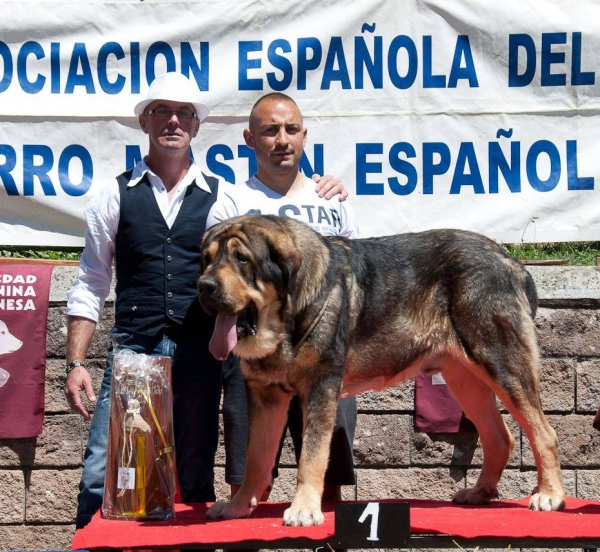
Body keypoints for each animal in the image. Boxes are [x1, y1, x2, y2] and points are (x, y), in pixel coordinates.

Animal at [198, 212, 568, 528]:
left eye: (242, 259)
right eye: (207, 258)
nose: (205, 286)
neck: (285, 319)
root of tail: (511, 262)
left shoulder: (320, 388)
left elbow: (311, 456)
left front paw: (303, 509)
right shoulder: (266, 396)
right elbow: (255, 457)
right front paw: (238, 506)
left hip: (502, 364)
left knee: (543, 433)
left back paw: (550, 495)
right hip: (464, 380)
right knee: (500, 437)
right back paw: (481, 492)